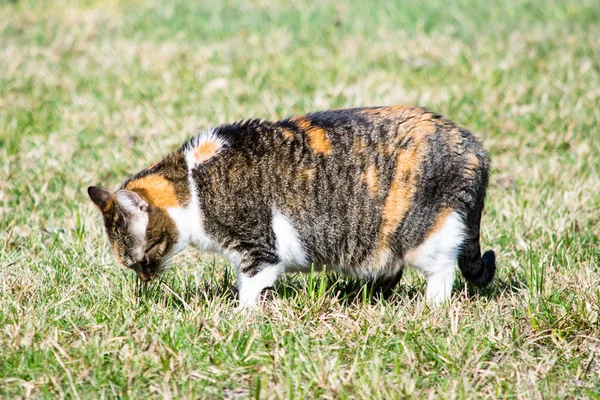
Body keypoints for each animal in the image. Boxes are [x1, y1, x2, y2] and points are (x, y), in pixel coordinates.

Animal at [86, 106, 494, 306]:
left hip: (422, 233)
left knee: (442, 269)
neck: (192, 184)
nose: (145, 280)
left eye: (142, 259)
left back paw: (431, 308)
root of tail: (473, 146)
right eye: (133, 266)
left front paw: (241, 317)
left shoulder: (257, 248)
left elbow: (250, 289)